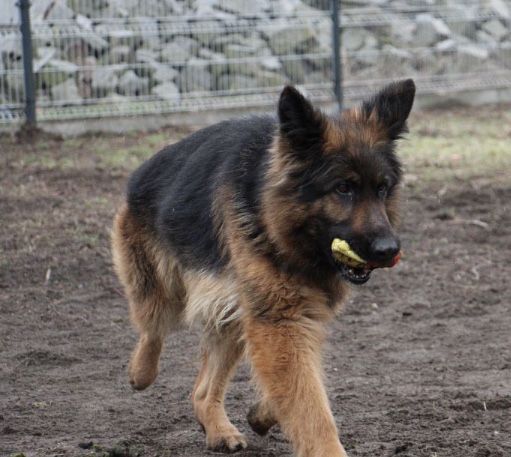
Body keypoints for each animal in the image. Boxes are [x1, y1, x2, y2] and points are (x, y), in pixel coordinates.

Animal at [111, 79, 416, 456]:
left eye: (383, 188)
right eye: (343, 188)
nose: (389, 250)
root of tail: (143, 171)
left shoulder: (284, 320)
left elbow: (301, 384)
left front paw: (261, 412)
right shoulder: (277, 321)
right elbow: (310, 405)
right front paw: (326, 448)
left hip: (231, 312)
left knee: (202, 390)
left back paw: (218, 429)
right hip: (161, 292)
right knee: (152, 328)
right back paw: (140, 373)